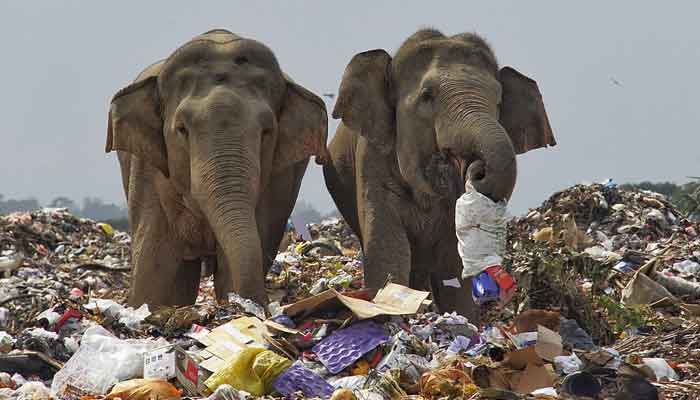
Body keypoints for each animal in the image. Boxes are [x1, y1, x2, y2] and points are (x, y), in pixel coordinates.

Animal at [107, 29, 330, 308]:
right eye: (182, 129)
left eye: (267, 131)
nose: (262, 305)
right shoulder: (148, 172)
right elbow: (157, 273)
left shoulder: (278, 182)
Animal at [324, 28, 556, 322]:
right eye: (427, 96)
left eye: (499, 101)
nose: (476, 169)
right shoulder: (371, 157)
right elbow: (388, 247)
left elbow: (452, 262)